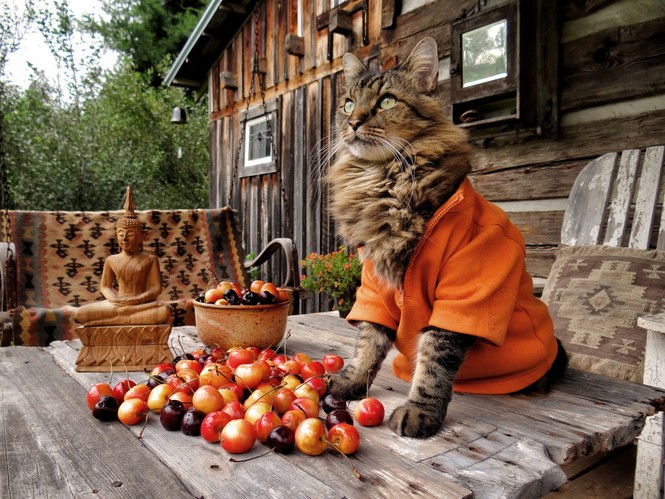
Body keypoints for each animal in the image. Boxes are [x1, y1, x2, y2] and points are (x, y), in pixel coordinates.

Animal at [324, 37, 568, 440]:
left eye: (386, 101)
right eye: (347, 104)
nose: (354, 121)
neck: (385, 181)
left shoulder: (461, 296)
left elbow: (434, 361)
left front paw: (420, 411)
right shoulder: (375, 287)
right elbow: (367, 344)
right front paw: (351, 381)